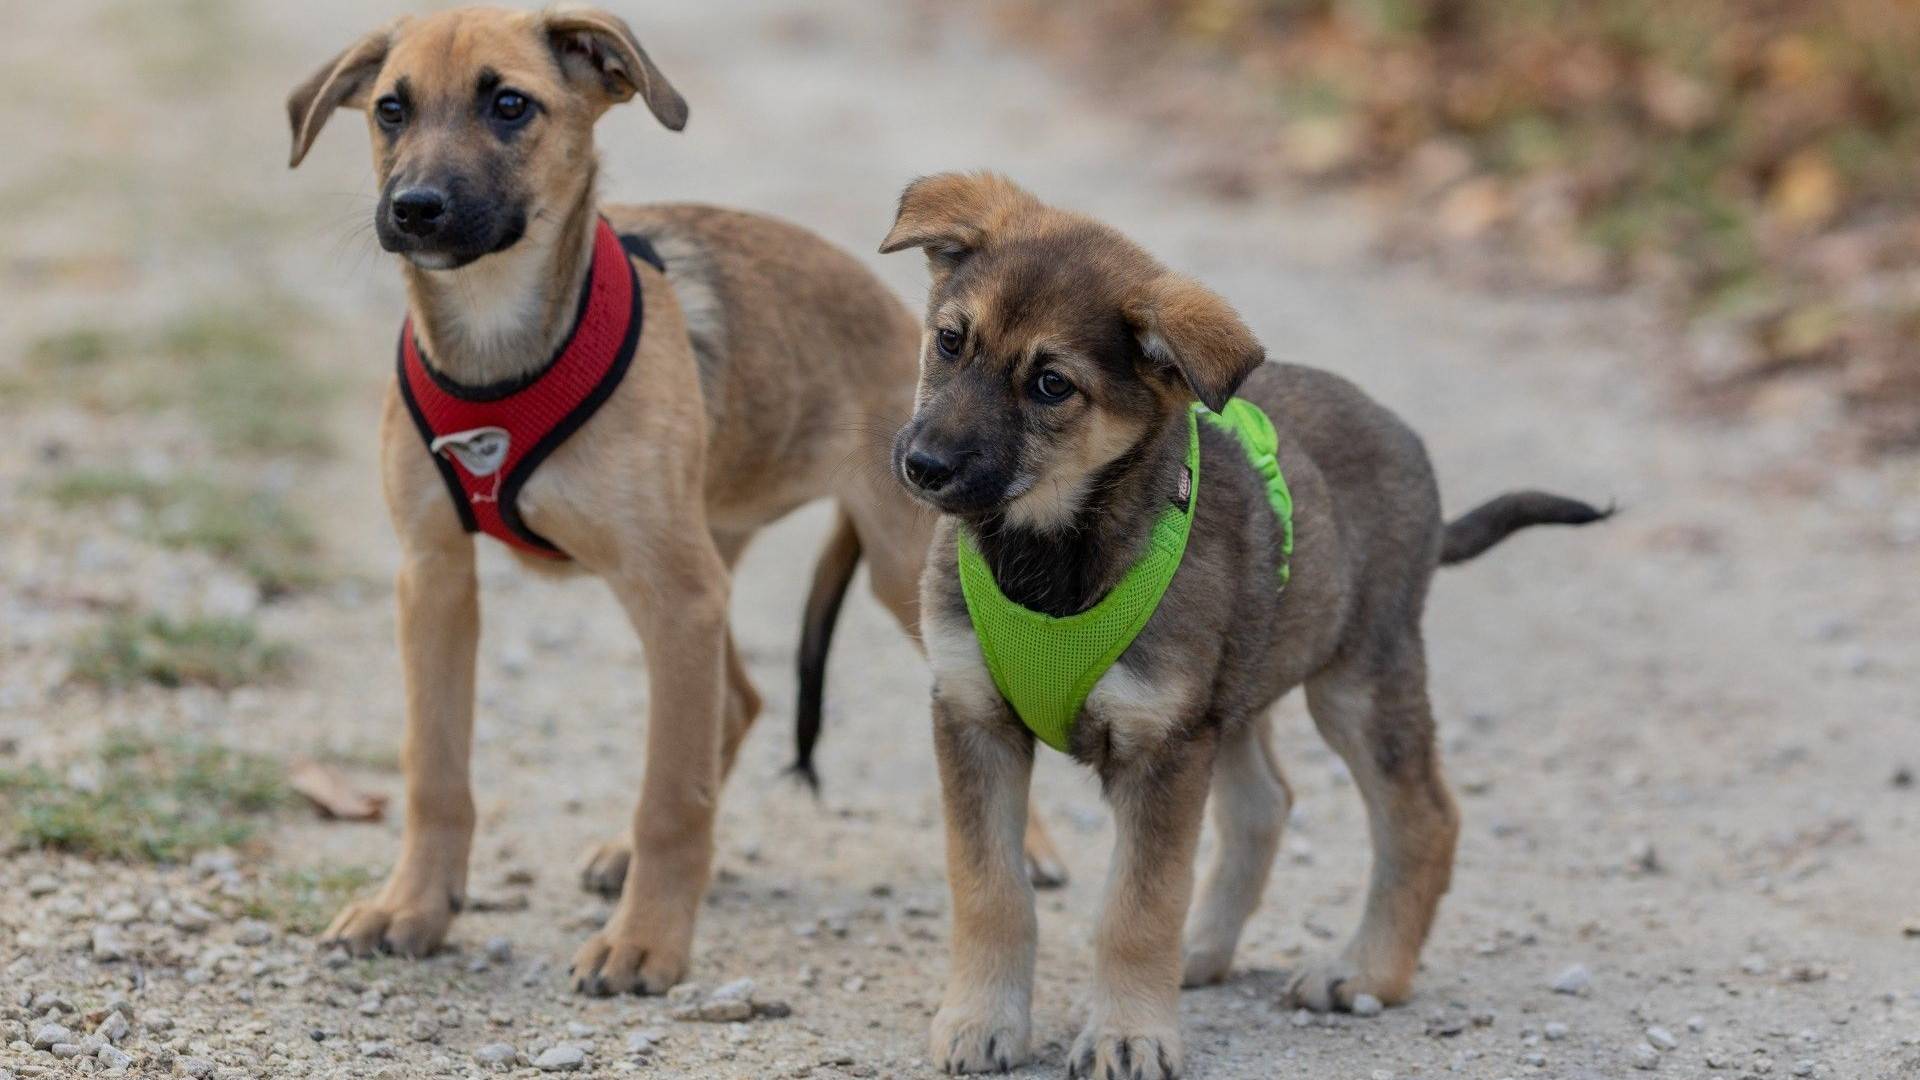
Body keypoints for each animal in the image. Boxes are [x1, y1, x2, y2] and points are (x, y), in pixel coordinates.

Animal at [284, 8, 1021, 999]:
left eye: (510, 105)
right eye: (390, 110)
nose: (415, 208)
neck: (496, 348)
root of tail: (913, 328)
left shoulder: (676, 595)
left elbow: (671, 795)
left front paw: (647, 942)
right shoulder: (434, 577)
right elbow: (433, 768)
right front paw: (414, 906)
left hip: (873, 570)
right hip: (701, 564)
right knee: (738, 701)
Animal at [883, 171, 1605, 1068]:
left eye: (1052, 385)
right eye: (951, 342)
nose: (922, 466)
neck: (1053, 562)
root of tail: (1401, 435)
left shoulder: (1162, 743)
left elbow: (1138, 906)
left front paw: (1128, 1033)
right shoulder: (975, 715)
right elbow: (990, 887)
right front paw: (983, 1019)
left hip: (1356, 683)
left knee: (1424, 818)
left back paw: (1365, 971)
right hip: (1234, 693)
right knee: (1265, 804)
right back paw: (1204, 949)